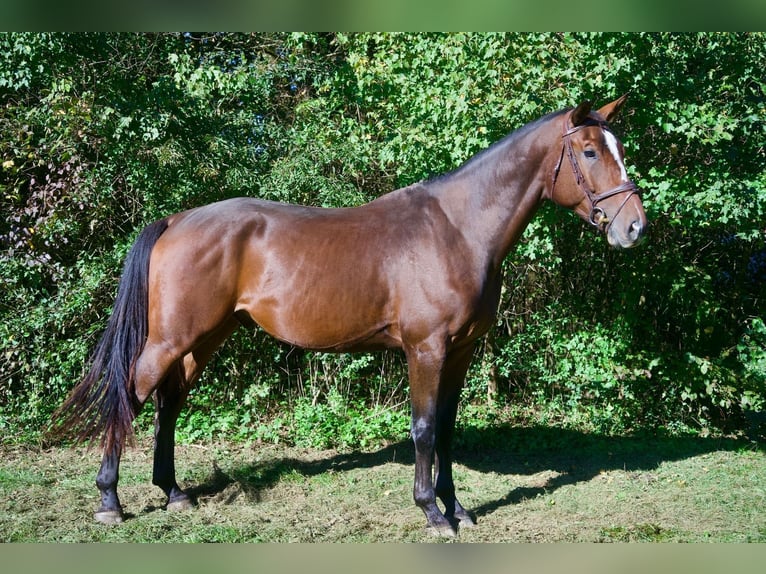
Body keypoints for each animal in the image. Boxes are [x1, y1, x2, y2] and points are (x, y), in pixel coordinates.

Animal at [52, 96, 647, 537]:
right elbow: (424, 429)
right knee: (130, 396)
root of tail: (176, 220)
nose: (635, 227)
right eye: (590, 152)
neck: (457, 229)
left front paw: (457, 509)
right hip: (172, 337)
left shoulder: (459, 351)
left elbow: (447, 429)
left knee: (168, 403)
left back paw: (174, 493)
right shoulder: (426, 348)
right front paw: (432, 513)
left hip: (206, 337)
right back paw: (110, 500)